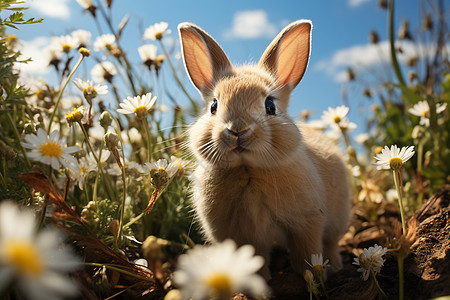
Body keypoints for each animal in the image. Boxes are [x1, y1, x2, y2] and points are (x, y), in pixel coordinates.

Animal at [178, 20, 350, 278]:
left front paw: (314, 276)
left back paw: (336, 266)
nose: (237, 130)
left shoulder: (306, 223)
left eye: (270, 105)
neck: (248, 170)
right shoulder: (244, 237)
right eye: (214, 106)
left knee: (330, 244)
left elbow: (308, 252)